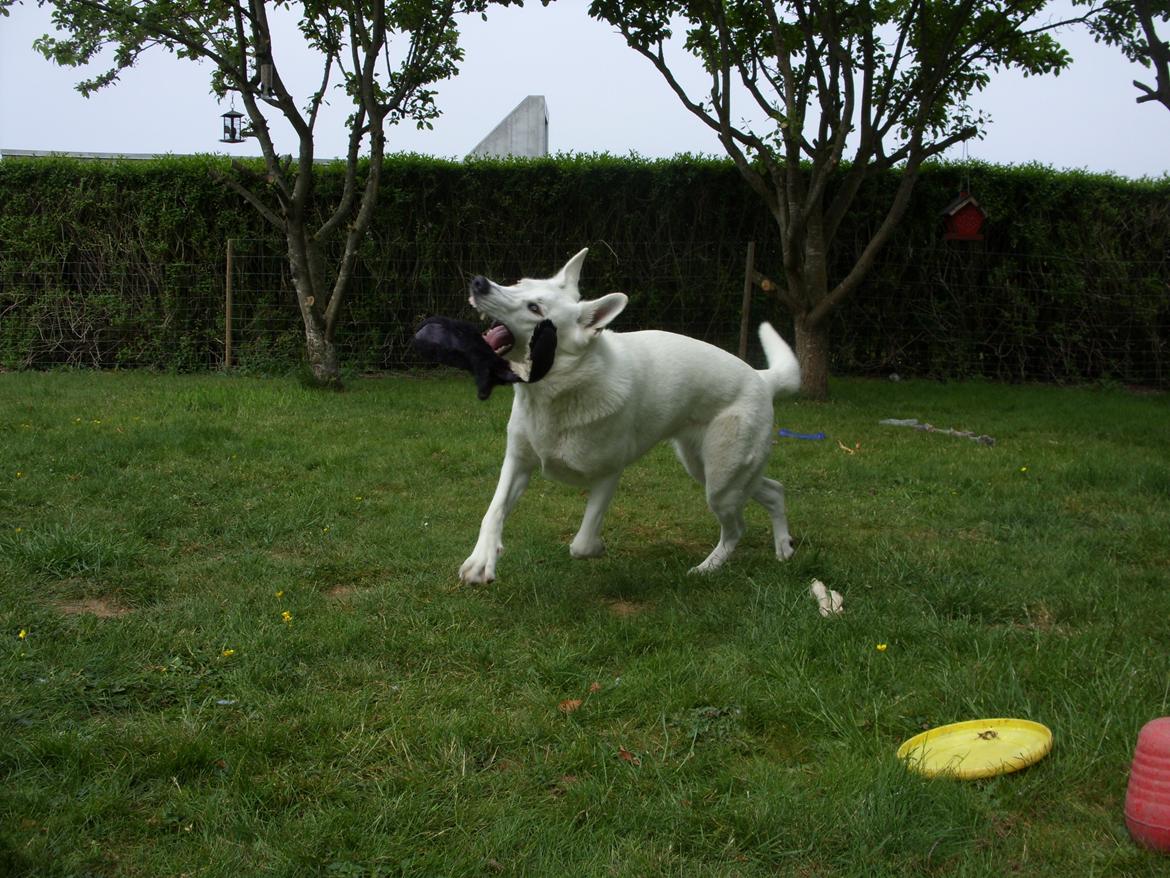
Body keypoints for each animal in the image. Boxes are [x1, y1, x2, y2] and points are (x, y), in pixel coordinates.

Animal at [460, 248, 800, 585]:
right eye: (519, 282)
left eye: (535, 308)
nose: (479, 283)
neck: (557, 392)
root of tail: (762, 378)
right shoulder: (517, 463)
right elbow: (493, 512)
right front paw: (480, 561)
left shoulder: (609, 475)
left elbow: (582, 543)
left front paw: (597, 547)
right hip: (708, 470)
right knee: (774, 490)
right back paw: (784, 548)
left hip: (720, 482)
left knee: (736, 528)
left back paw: (708, 568)